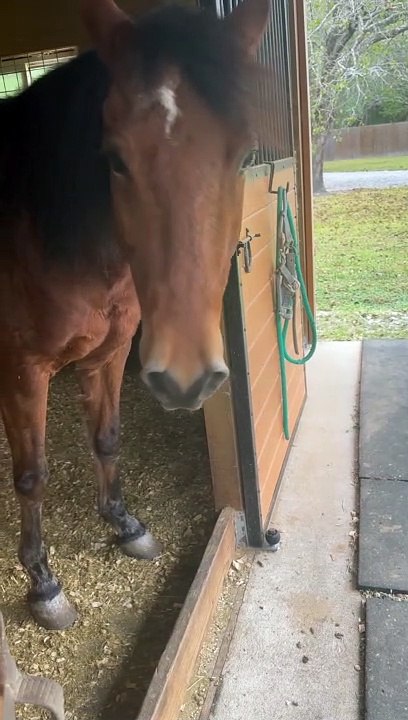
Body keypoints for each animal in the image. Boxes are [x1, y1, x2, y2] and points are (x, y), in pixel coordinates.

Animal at [0, 0, 269, 631]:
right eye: (115, 159)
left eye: (245, 155)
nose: (188, 375)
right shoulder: (23, 370)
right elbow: (32, 475)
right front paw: (43, 583)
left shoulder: (112, 352)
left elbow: (107, 438)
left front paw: (125, 525)